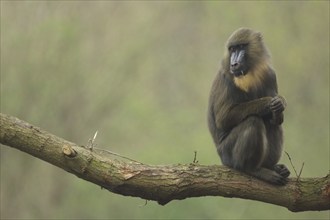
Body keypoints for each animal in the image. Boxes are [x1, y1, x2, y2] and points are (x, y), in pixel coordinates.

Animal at [208, 27, 290, 186]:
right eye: (232, 49)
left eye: (241, 47)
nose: (234, 63)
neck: (249, 72)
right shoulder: (227, 76)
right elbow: (224, 117)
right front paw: (269, 102)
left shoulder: (270, 75)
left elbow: (277, 119)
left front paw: (280, 104)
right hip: (227, 153)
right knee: (253, 121)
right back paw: (253, 169)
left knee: (274, 125)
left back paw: (271, 167)